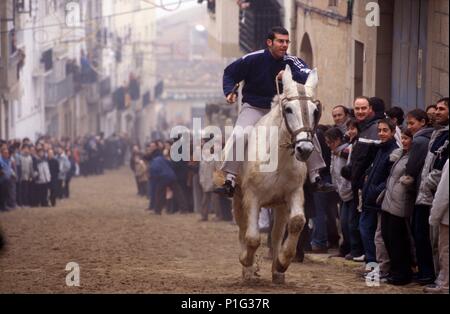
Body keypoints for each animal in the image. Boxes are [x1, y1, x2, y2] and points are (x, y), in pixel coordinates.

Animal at [232, 65, 320, 284]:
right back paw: (248, 270)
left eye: (315, 111)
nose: (304, 149)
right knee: (243, 229)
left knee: (277, 234)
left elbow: (296, 223)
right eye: (288, 109)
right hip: (237, 197)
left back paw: (277, 272)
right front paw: (247, 263)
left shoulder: (293, 193)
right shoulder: (251, 197)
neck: (278, 159)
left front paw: (282, 263)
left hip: (279, 206)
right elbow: (252, 237)